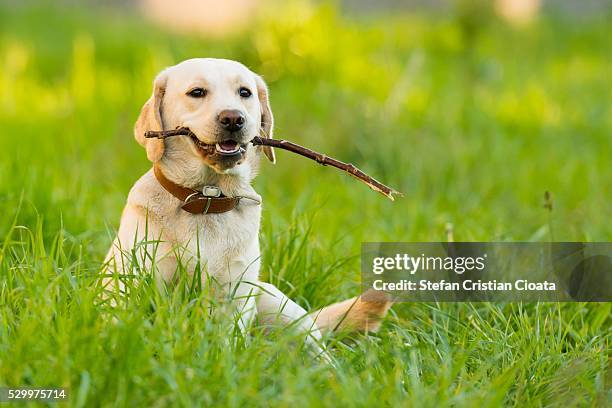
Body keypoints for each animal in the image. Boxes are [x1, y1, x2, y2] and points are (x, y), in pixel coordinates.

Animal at [103, 57, 390, 356]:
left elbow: (225, 343)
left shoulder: (234, 292)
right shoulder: (138, 278)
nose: (233, 118)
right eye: (197, 92)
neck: (207, 198)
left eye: (244, 92)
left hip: (277, 304)